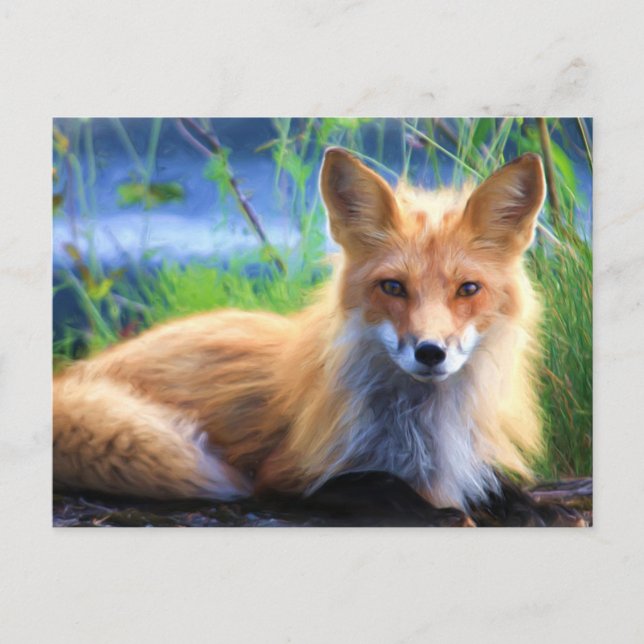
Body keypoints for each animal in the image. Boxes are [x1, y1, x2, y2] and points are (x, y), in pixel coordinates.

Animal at [54, 148, 577, 524]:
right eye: (393, 287)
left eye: (468, 289)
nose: (430, 352)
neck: (424, 430)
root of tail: (74, 375)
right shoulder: (285, 475)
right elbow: (379, 484)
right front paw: (440, 512)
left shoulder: (474, 458)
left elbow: (503, 487)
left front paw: (530, 508)